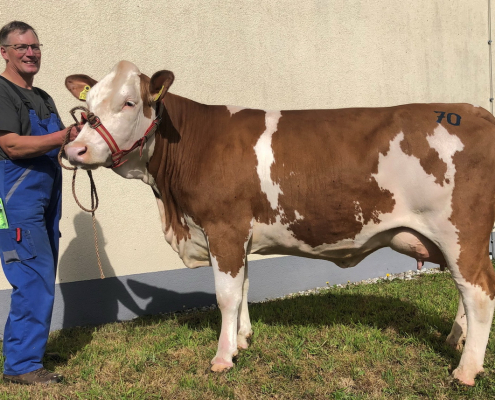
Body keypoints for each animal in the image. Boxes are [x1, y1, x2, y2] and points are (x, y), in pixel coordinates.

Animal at [64, 59, 495, 384]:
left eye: (129, 103)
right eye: (88, 108)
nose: (75, 148)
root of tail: (472, 110)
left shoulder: (224, 227)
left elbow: (226, 295)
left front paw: (222, 357)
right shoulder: (239, 235)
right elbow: (243, 287)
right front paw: (242, 339)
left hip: (461, 233)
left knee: (478, 292)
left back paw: (466, 370)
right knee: (464, 290)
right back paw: (455, 339)